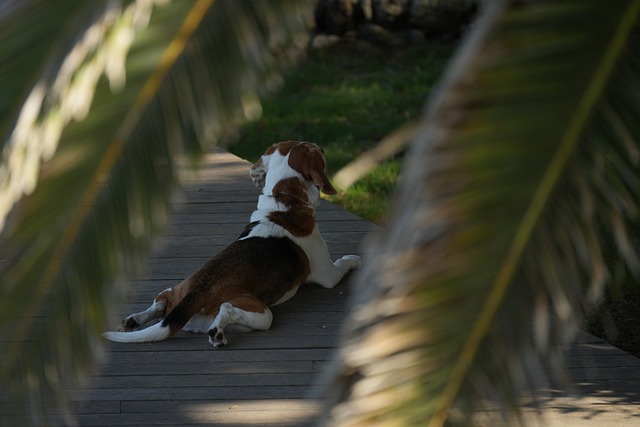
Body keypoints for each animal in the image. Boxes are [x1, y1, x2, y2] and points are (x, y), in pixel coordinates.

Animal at [100, 142, 360, 350]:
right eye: (313, 148)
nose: (323, 149)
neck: (284, 203)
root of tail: (196, 292)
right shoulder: (328, 274)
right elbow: (344, 262)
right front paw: (354, 259)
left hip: (179, 292)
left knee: (162, 300)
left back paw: (135, 319)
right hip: (261, 312)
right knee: (228, 309)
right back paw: (216, 332)